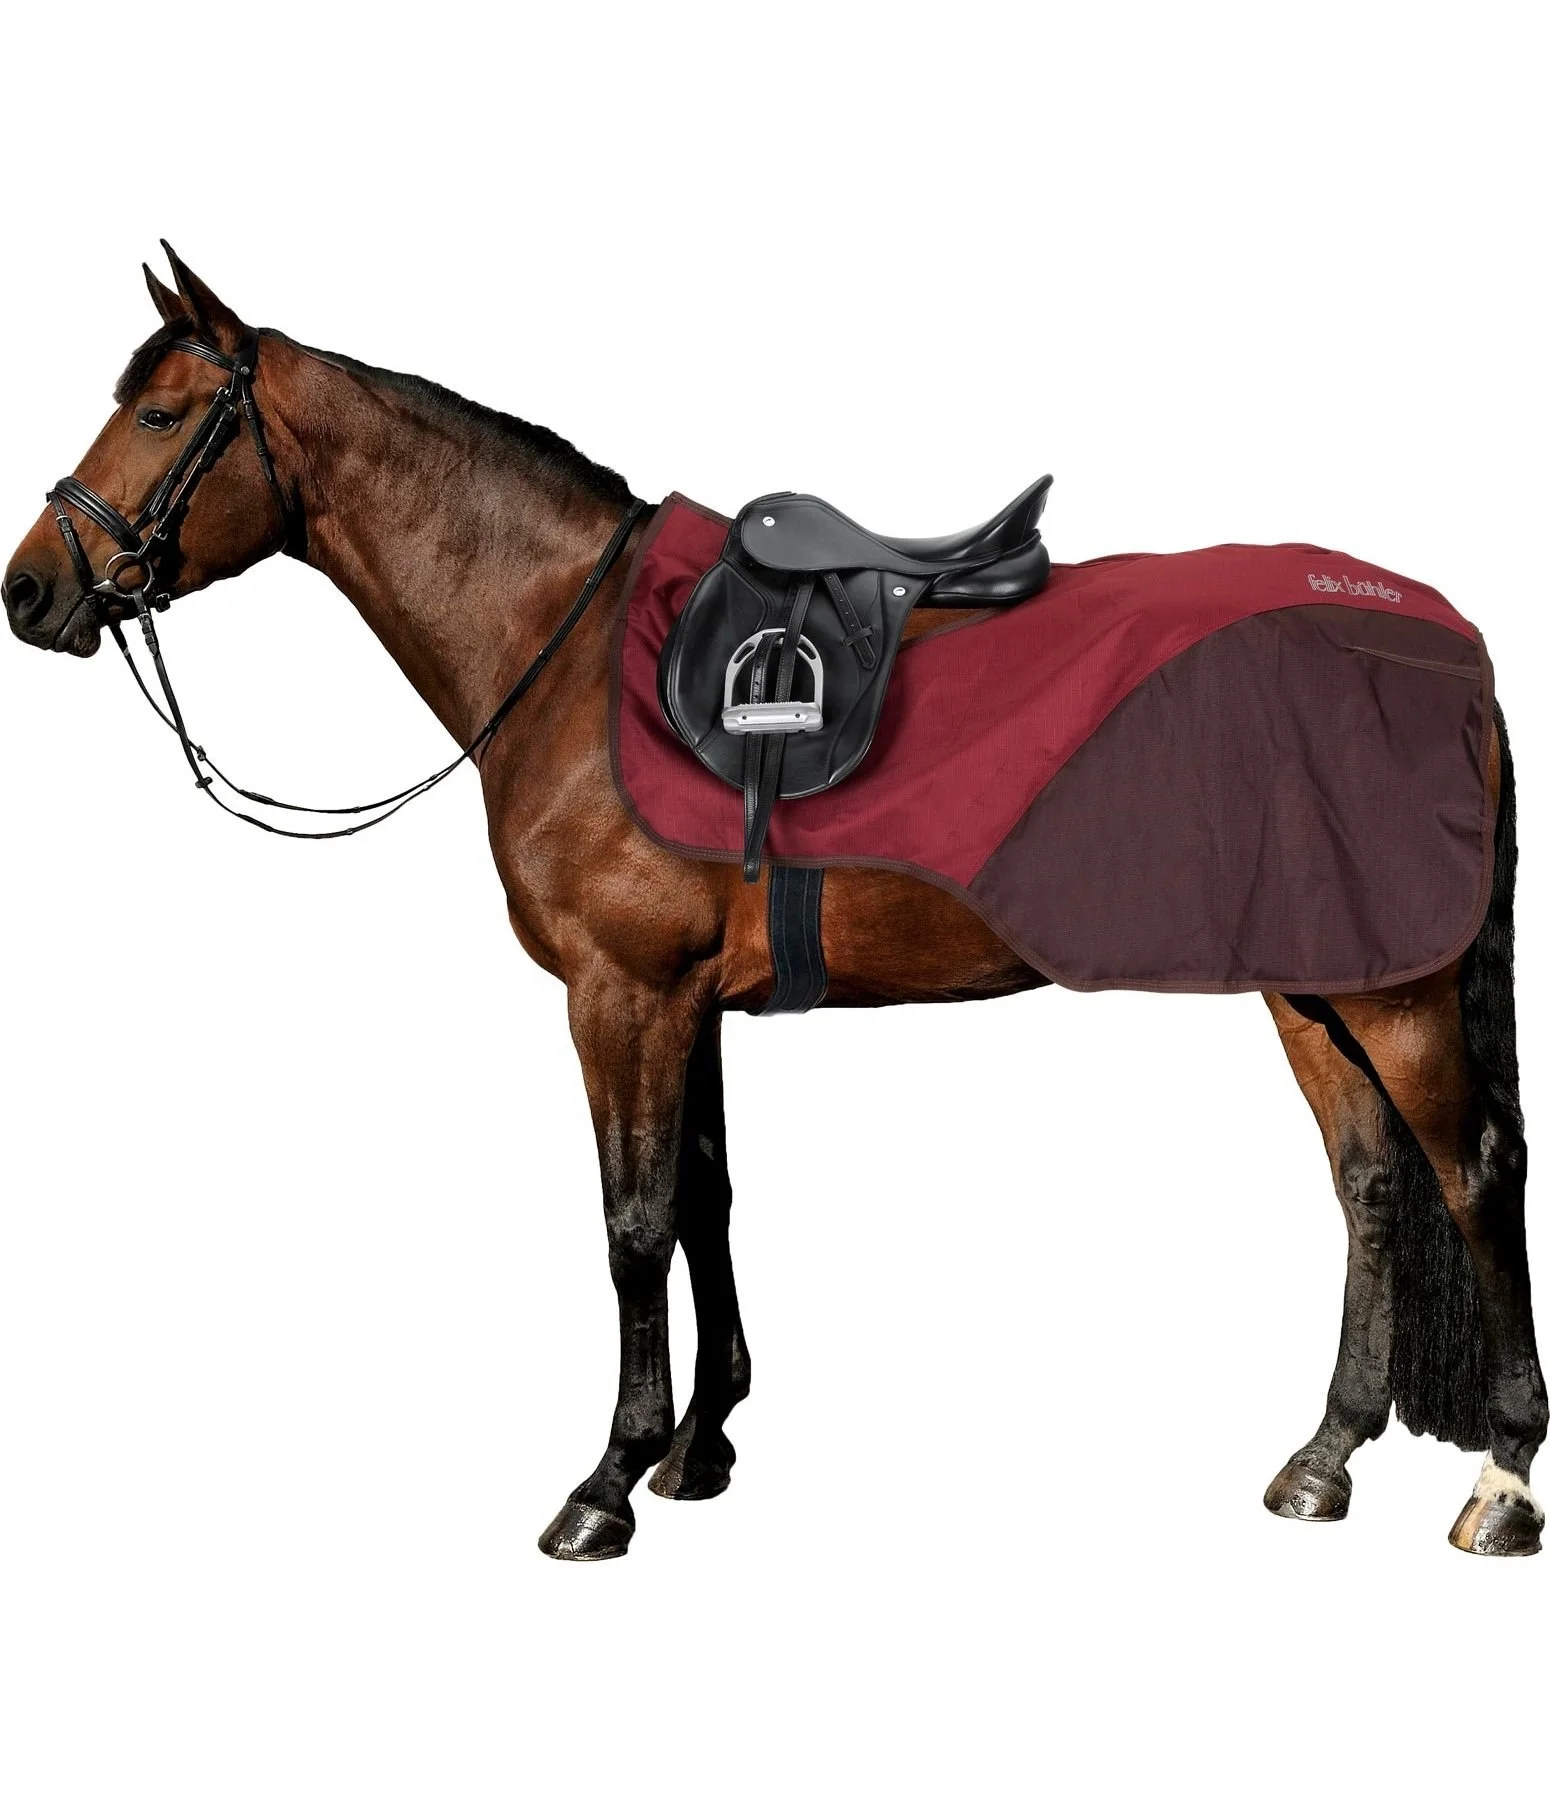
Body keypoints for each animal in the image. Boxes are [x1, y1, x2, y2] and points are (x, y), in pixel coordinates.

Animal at [5, 248, 1544, 1561]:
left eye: (159, 413)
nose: (30, 589)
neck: (570, 644)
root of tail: (1440, 642)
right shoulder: (684, 1002)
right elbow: (703, 1199)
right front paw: (701, 1443)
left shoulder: (620, 994)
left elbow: (630, 1224)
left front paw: (607, 1481)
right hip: (1311, 982)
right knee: (1367, 1183)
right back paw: (1323, 1456)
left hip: (1389, 993)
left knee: (1469, 1173)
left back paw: (1500, 1480)